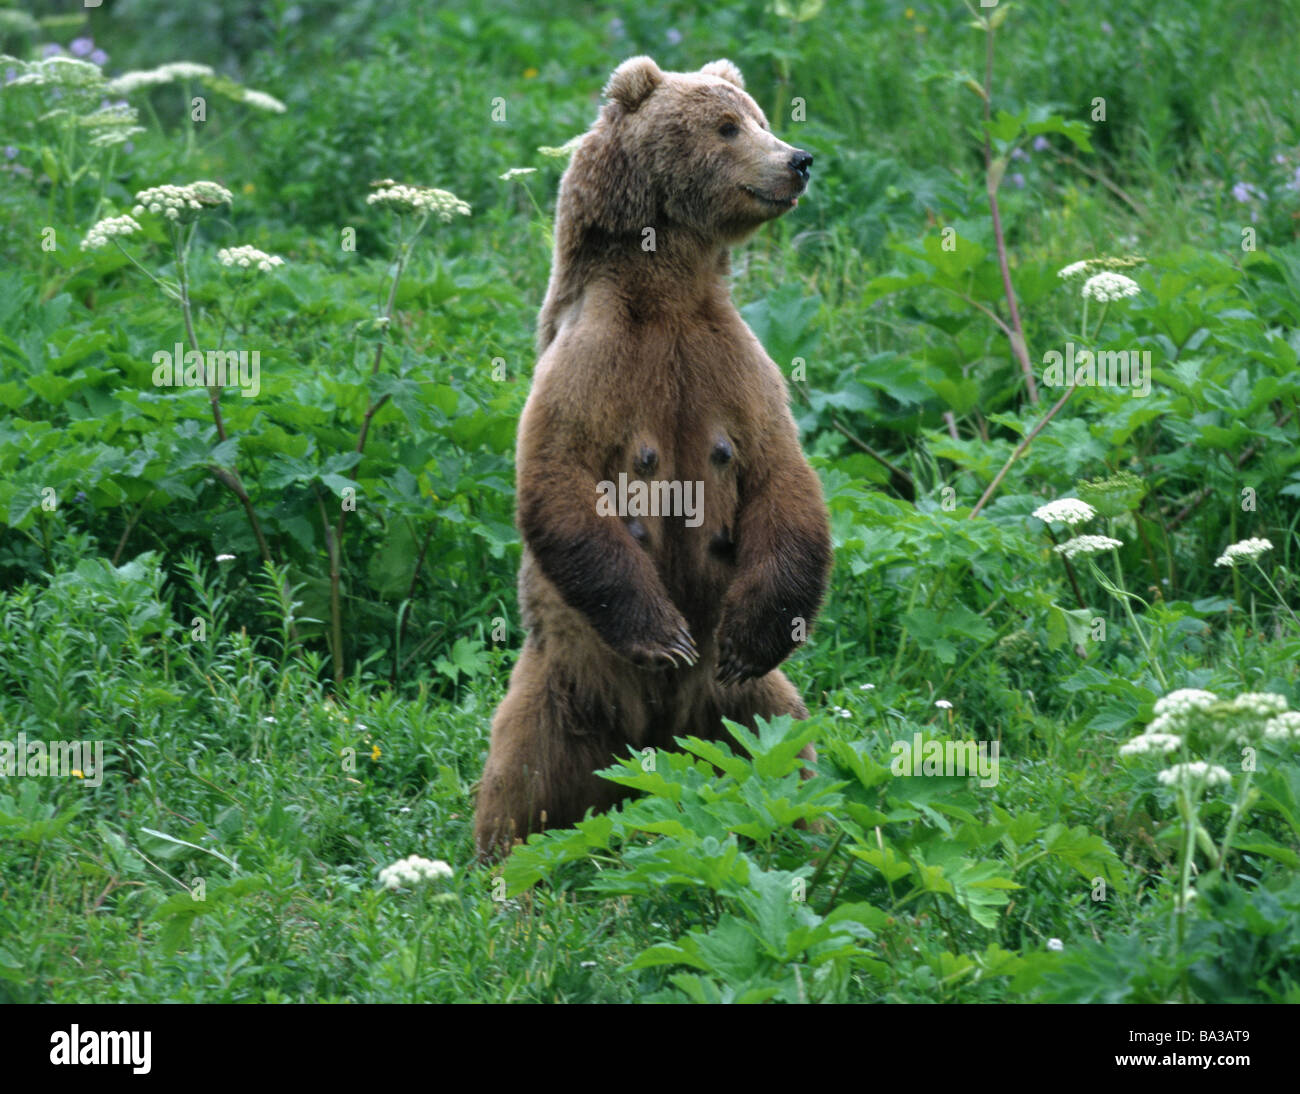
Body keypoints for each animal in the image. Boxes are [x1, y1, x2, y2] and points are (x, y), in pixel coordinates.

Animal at [475, 56, 832, 858]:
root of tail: (655, 747)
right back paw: (498, 865)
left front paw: (750, 637)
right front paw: (666, 637)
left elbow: (783, 480)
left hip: (738, 712)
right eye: (727, 127)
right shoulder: (594, 358)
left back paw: (807, 830)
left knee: (786, 748)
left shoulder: (732, 362)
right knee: (519, 779)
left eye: (759, 116)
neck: (665, 286)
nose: (798, 159)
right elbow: (559, 478)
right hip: (561, 683)